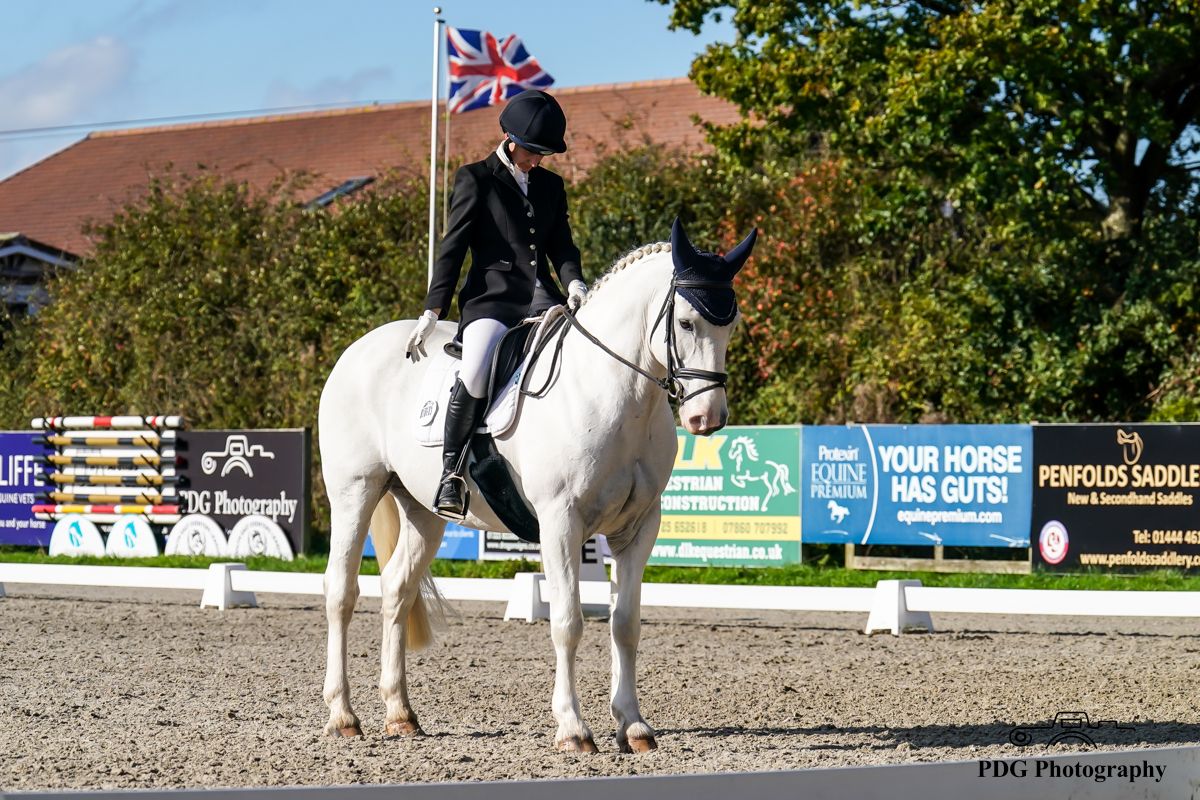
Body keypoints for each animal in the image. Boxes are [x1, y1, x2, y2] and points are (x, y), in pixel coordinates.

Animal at [314, 220, 753, 758]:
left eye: (731, 325)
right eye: (687, 323)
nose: (706, 418)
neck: (613, 392)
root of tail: (360, 348)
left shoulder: (639, 527)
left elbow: (625, 624)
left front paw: (633, 725)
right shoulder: (561, 522)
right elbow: (567, 622)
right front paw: (573, 729)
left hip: (423, 511)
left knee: (397, 588)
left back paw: (400, 715)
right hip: (355, 492)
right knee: (341, 590)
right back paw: (343, 716)